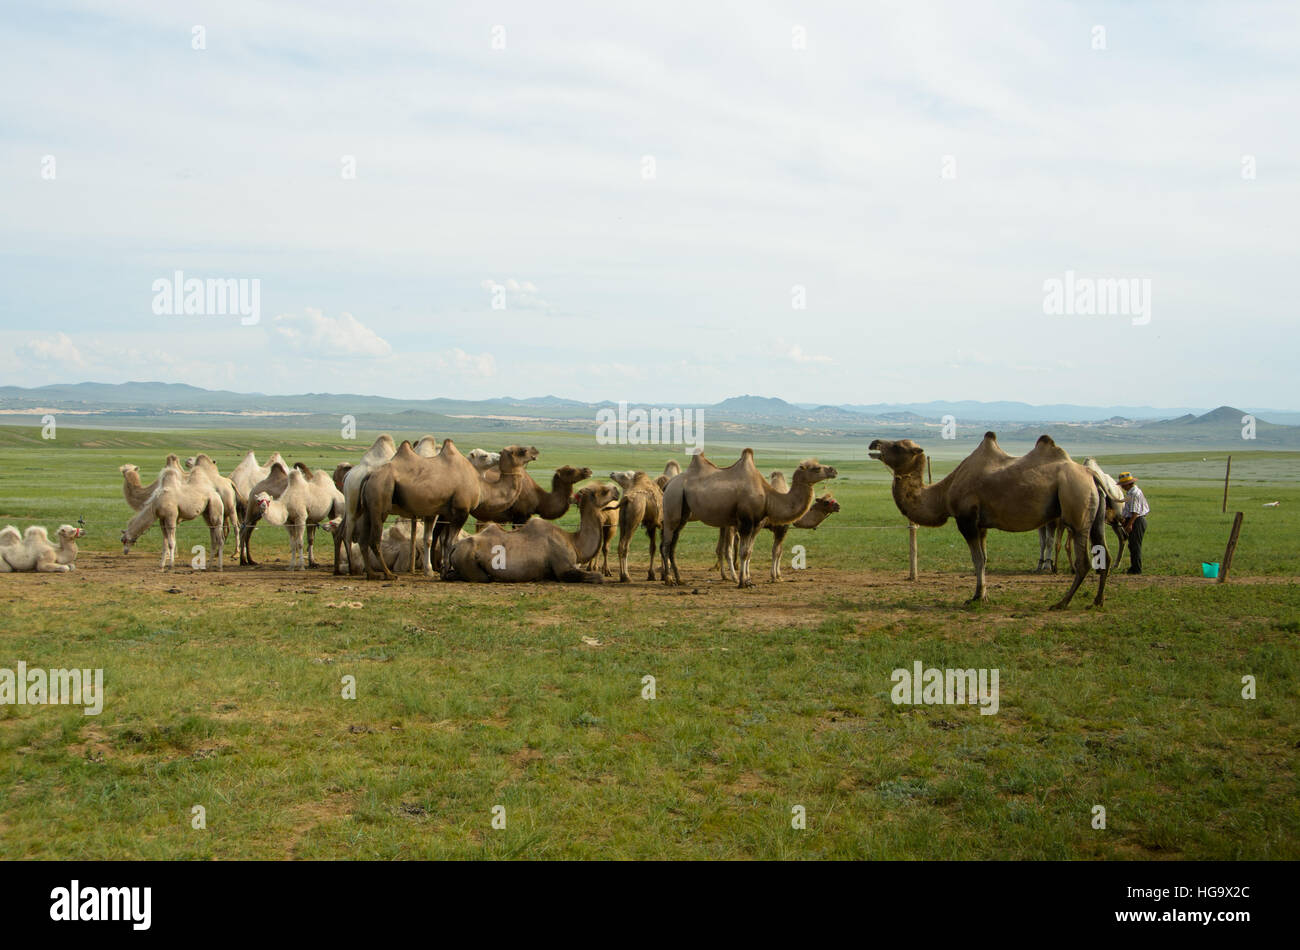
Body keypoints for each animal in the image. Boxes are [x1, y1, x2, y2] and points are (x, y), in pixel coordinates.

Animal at [447, 478, 618, 582]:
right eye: (602, 491)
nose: (616, 489)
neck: (574, 542)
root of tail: (455, 547)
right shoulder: (563, 568)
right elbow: (598, 577)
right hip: (469, 561)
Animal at [665, 452, 837, 587]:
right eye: (816, 468)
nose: (833, 470)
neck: (769, 497)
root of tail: (669, 483)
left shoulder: (757, 524)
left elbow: (749, 552)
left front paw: (748, 579)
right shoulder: (746, 522)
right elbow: (745, 552)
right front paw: (743, 582)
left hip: (683, 511)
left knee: (673, 544)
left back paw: (679, 579)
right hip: (673, 503)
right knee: (666, 543)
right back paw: (668, 579)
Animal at [868, 434, 1112, 608]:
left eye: (898, 446)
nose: (874, 443)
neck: (943, 493)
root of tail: (1091, 475)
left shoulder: (966, 521)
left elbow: (977, 560)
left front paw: (975, 597)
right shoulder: (982, 526)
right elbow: (984, 559)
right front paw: (981, 595)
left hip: (1076, 509)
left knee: (1084, 561)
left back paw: (1062, 602)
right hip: (1095, 515)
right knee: (1104, 555)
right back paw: (1097, 601)